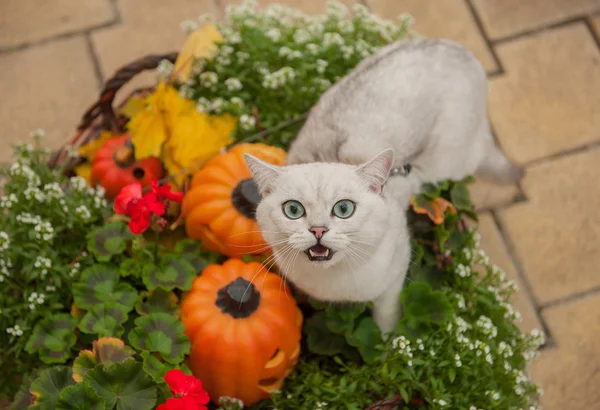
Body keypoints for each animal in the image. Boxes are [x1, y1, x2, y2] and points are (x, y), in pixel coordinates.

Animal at [243, 38, 520, 334]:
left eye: (343, 209)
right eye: (293, 210)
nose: (318, 230)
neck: (333, 283)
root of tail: (462, 51)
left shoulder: (395, 276)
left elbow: (386, 317)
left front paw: (389, 341)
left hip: (458, 160)